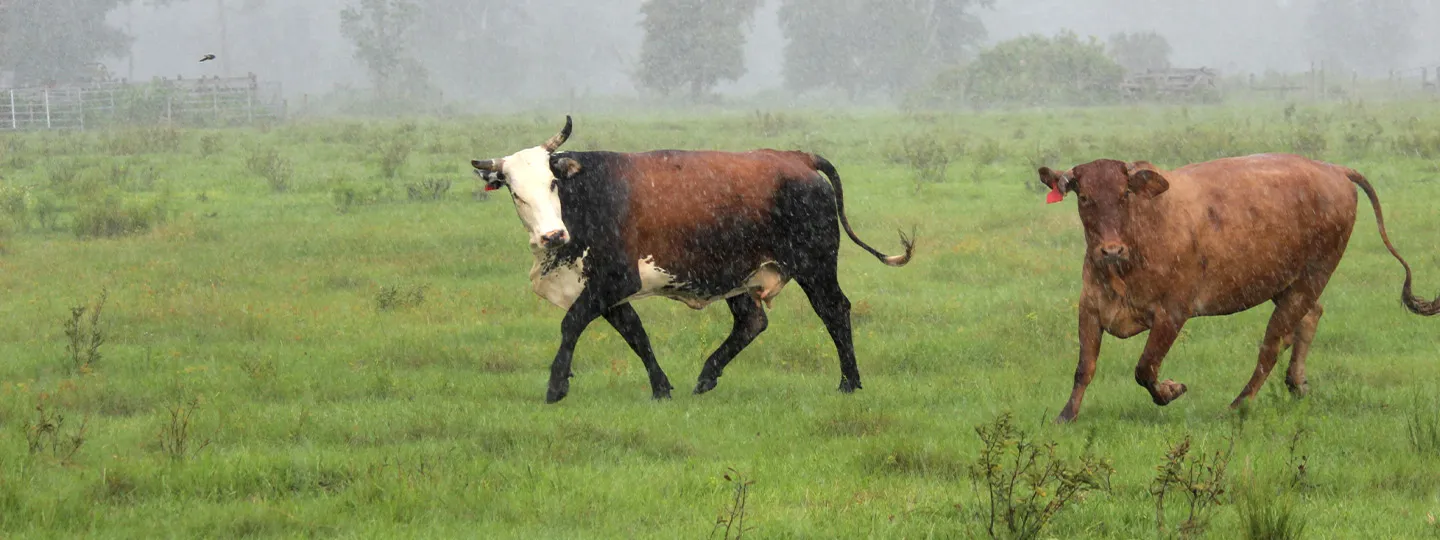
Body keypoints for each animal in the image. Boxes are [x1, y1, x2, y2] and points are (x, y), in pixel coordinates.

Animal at [478, 119, 915, 406]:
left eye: (553, 183)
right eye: (515, 192)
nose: (552, 236)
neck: (589, 193)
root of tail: (797, 158)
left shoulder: (616, 279)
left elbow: (572, 323)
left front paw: (556, 387)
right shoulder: (606, 288)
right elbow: (634, 332)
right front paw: (660, 387)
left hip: (816, 266)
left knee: (834, 311)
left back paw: (849, 382)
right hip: (739, 273)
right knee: (751, 322)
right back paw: (707, 376)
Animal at [1042, 152, 1434, 423]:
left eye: (1125, 194)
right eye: (1084, 197)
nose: (1110, 250)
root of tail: (1334, 170)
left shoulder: (1173, 313)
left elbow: (1145, 368)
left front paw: (1171, 391)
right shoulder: (1090, 308)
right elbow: (1085, 367)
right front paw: (1065, 415)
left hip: (1312, 276)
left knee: (1271, 347)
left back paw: (1237, 405)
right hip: (1288, 283)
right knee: (1308, 319)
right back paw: (1297, 382)